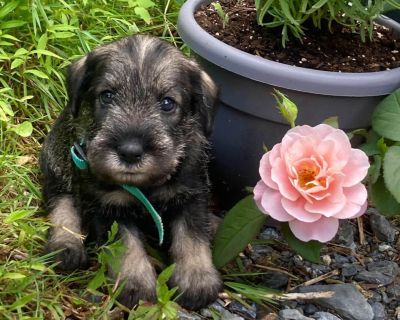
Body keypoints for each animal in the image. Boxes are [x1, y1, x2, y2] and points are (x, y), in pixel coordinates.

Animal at [39, 35, 222, 310]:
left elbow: (192, 237)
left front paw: (196, 279)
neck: (148, 185)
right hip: (58, 167)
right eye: (107, 96)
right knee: (62, 204)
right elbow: (126, 246)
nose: (130, 152)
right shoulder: (108, 206)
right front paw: (135, 284)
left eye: (167, 103)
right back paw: (66, 246)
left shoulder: (191, 195)